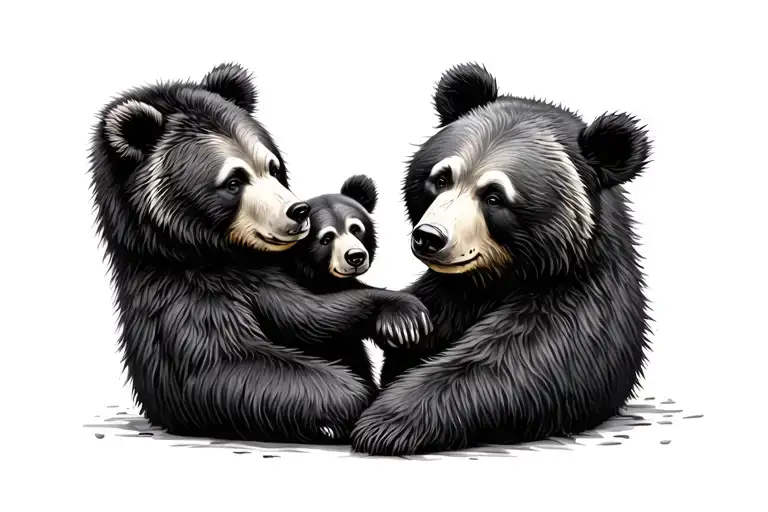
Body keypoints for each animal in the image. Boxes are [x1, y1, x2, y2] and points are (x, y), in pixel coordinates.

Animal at [88, 62, 432, 444]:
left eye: (272, 167)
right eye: (233, 181)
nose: (298, 211)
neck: (205, 251)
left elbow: (310, 314)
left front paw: (400, 319)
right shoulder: (194, 295)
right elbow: (239, 357)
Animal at [350, 62, 653, 456]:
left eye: (494, 197)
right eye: (442, 178)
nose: (429, 237)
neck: (496, 277)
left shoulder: (579, 295)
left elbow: (519, 360)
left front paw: (387, 421)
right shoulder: (450, 293)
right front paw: (399, 324)